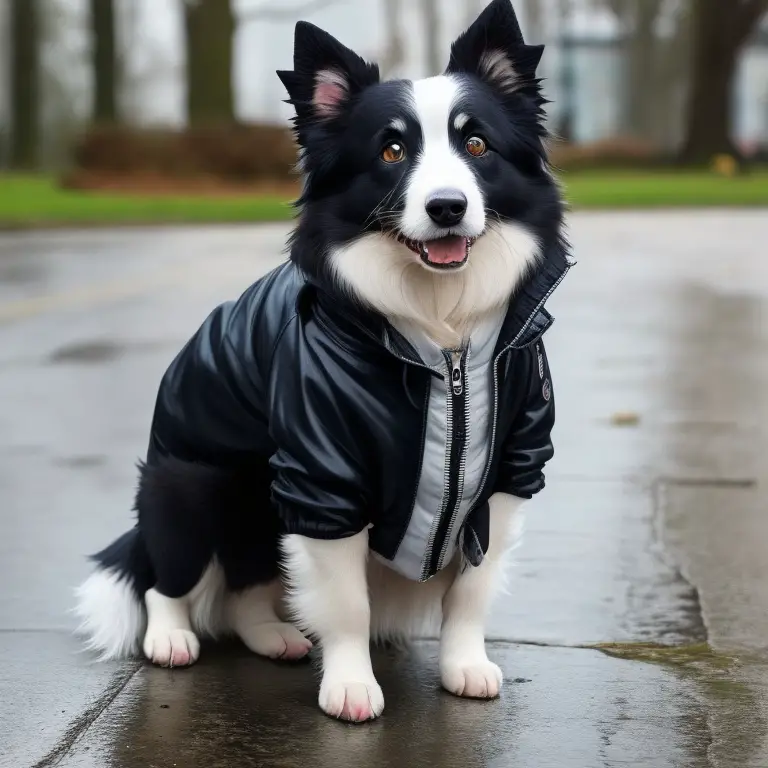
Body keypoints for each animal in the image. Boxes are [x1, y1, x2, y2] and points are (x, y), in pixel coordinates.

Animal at [76, 0, 568, 728]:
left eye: (477, 145)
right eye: (392, 150)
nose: (446, 207)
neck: (439, 334)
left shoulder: (512, 466)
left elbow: (471, 591)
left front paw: (464, 665)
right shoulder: (322, 479)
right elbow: (345, 603)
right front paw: (351, 685)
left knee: (248, 583)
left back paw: (269, 635)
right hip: (193, 481)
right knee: (169, 571)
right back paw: (170, 636)